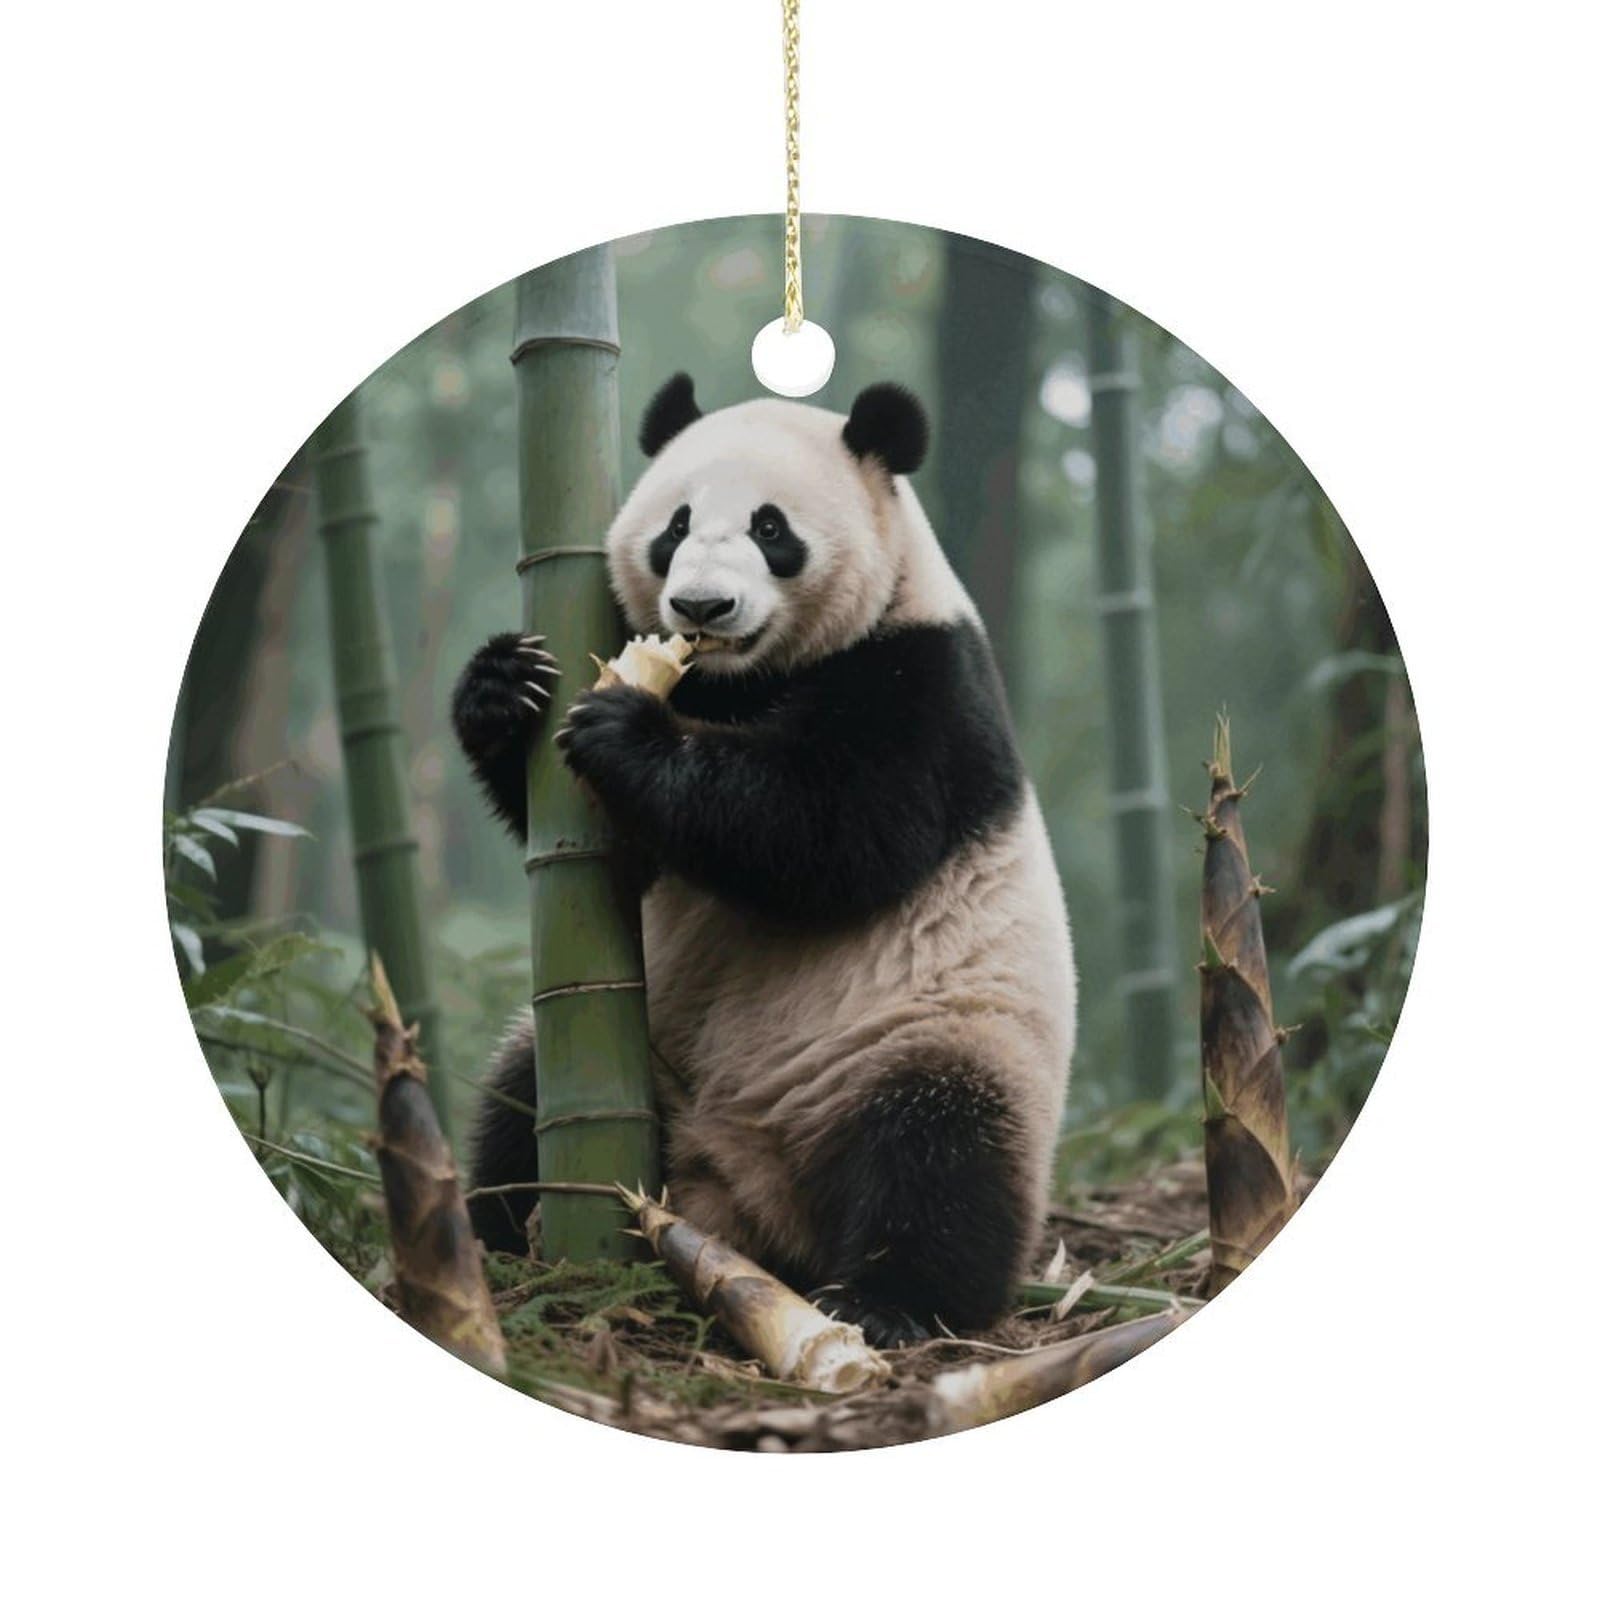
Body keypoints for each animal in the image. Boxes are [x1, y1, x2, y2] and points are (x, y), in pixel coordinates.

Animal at [451, 374, 1076, 1346]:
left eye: (771, 529)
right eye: (675, 526)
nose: (701, 609)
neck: (743, 680)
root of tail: (742, 1202)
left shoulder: (925, 683)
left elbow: (836, 832)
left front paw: (628, 729)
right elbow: (609, 843)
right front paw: (502, 686)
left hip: (932, 1037)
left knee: (941, 1159)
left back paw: (885, 1300)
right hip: (637, 1050)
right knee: (518, 1107)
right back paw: (496, 1235)